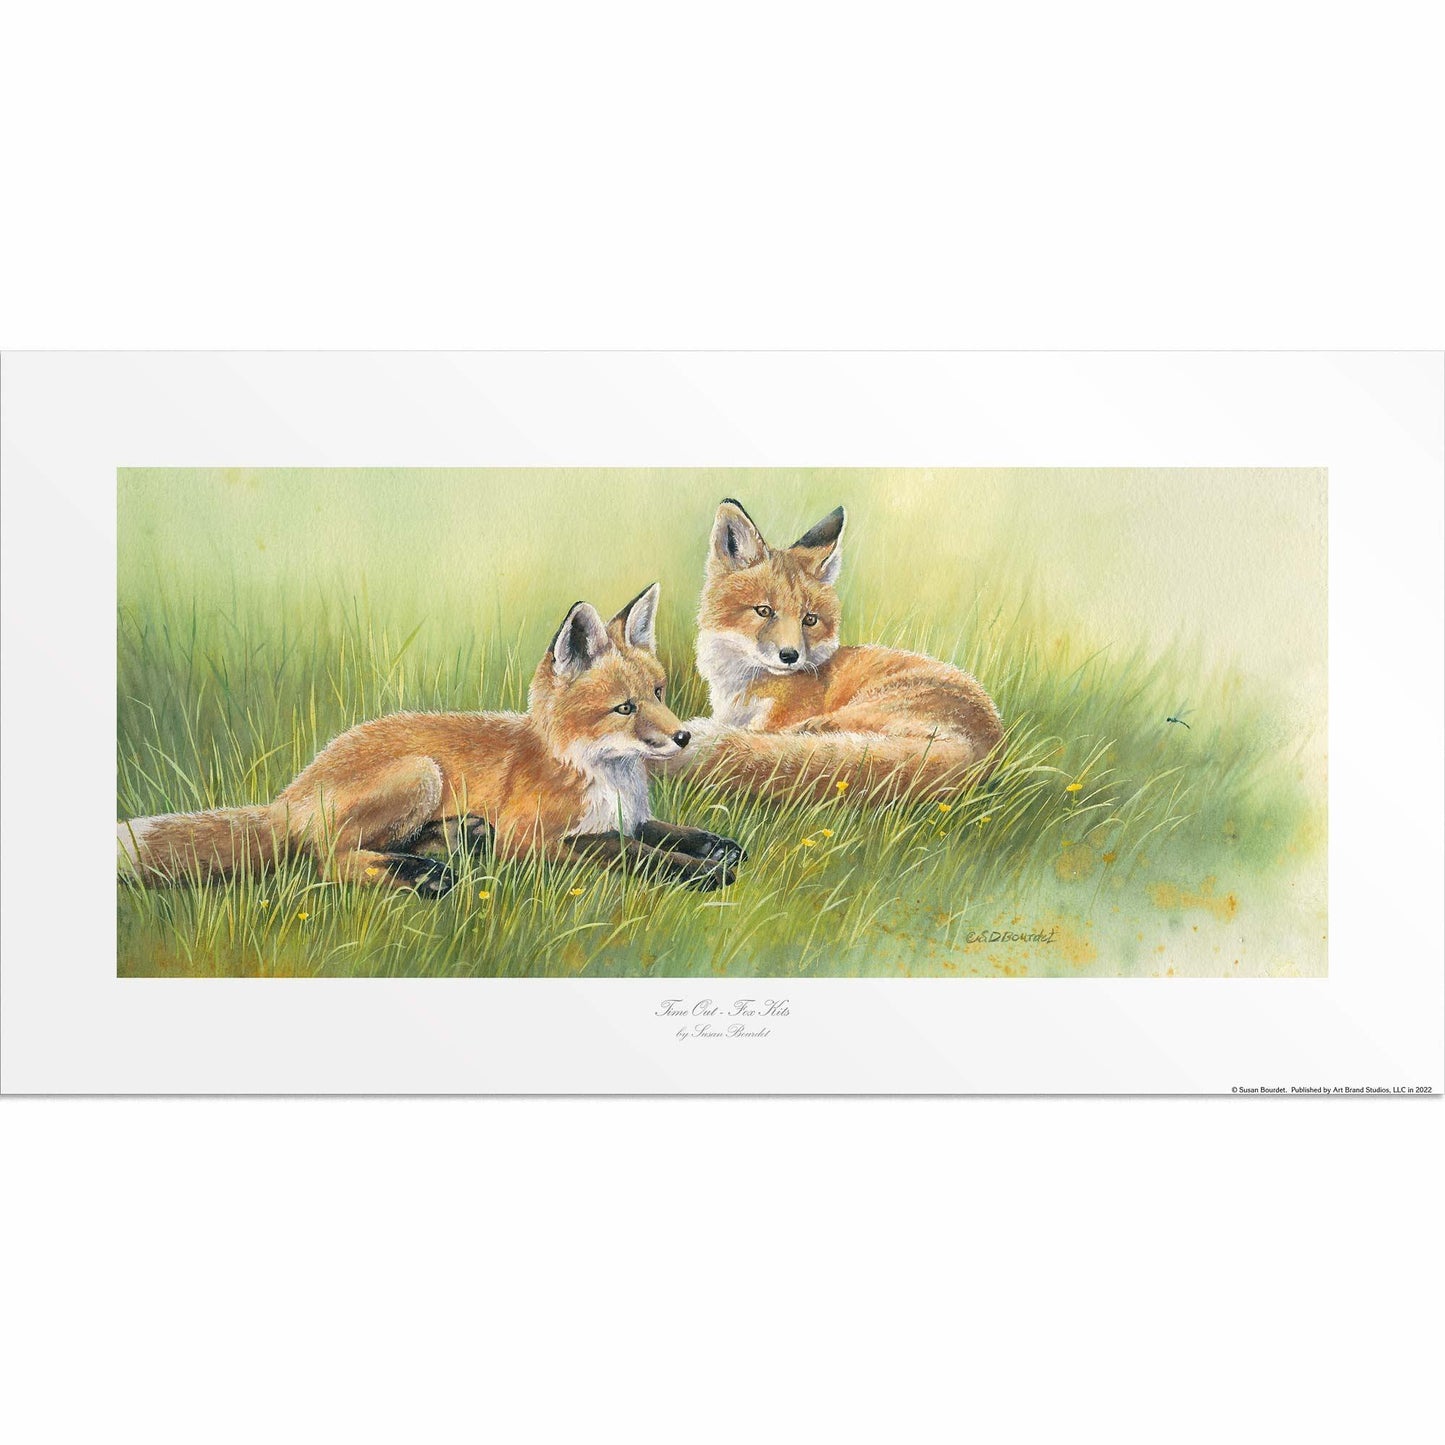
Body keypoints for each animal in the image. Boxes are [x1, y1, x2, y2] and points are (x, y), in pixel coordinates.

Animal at [117, 584, 745, 894]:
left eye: (659, 692)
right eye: (625, 708)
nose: (683, 737)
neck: (600, 774)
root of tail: (291, 792)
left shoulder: (628, 816)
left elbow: (663, 832)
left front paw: (715, 845)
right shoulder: (535, 838)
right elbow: (629, 851)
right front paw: (704, 872)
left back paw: (452, 843)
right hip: (421, 772)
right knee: (325, 861)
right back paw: (423, 876)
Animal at [670, 499, 1004, 801]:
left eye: (809, 619)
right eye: (764, 611)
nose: (790, 656)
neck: (743, 689)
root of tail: (980, 752)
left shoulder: (776, 720)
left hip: (849, 714)